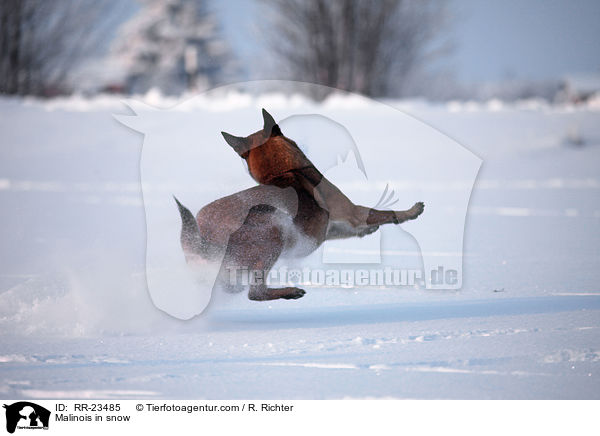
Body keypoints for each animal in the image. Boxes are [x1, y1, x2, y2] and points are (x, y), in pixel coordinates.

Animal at [176, 109, 424, 302]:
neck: (284, 171)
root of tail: (205, 239)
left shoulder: (331, 229)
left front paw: (372, 228)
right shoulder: (351, 212)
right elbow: (384, 212)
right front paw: (411, 211)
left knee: (233, 287)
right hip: (274, 226)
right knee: (255, 293)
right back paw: (290, 291)